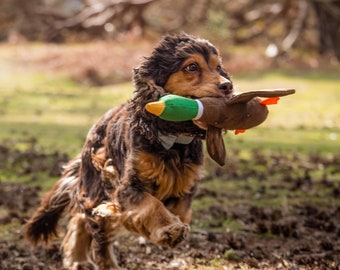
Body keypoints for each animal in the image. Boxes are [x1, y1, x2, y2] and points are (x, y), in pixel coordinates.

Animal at [22, 33, 232, 270]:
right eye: (192, 67)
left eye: (218, 67)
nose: (228, 86)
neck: (172, 139)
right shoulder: (126, 187)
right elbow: (151, 205)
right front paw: (169, 230)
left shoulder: (184, 186)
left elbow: (181, 211)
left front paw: (172, 226)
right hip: (98, 183)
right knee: (98, 233)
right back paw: (97, 260)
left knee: (82, 219)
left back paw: (78, 258)